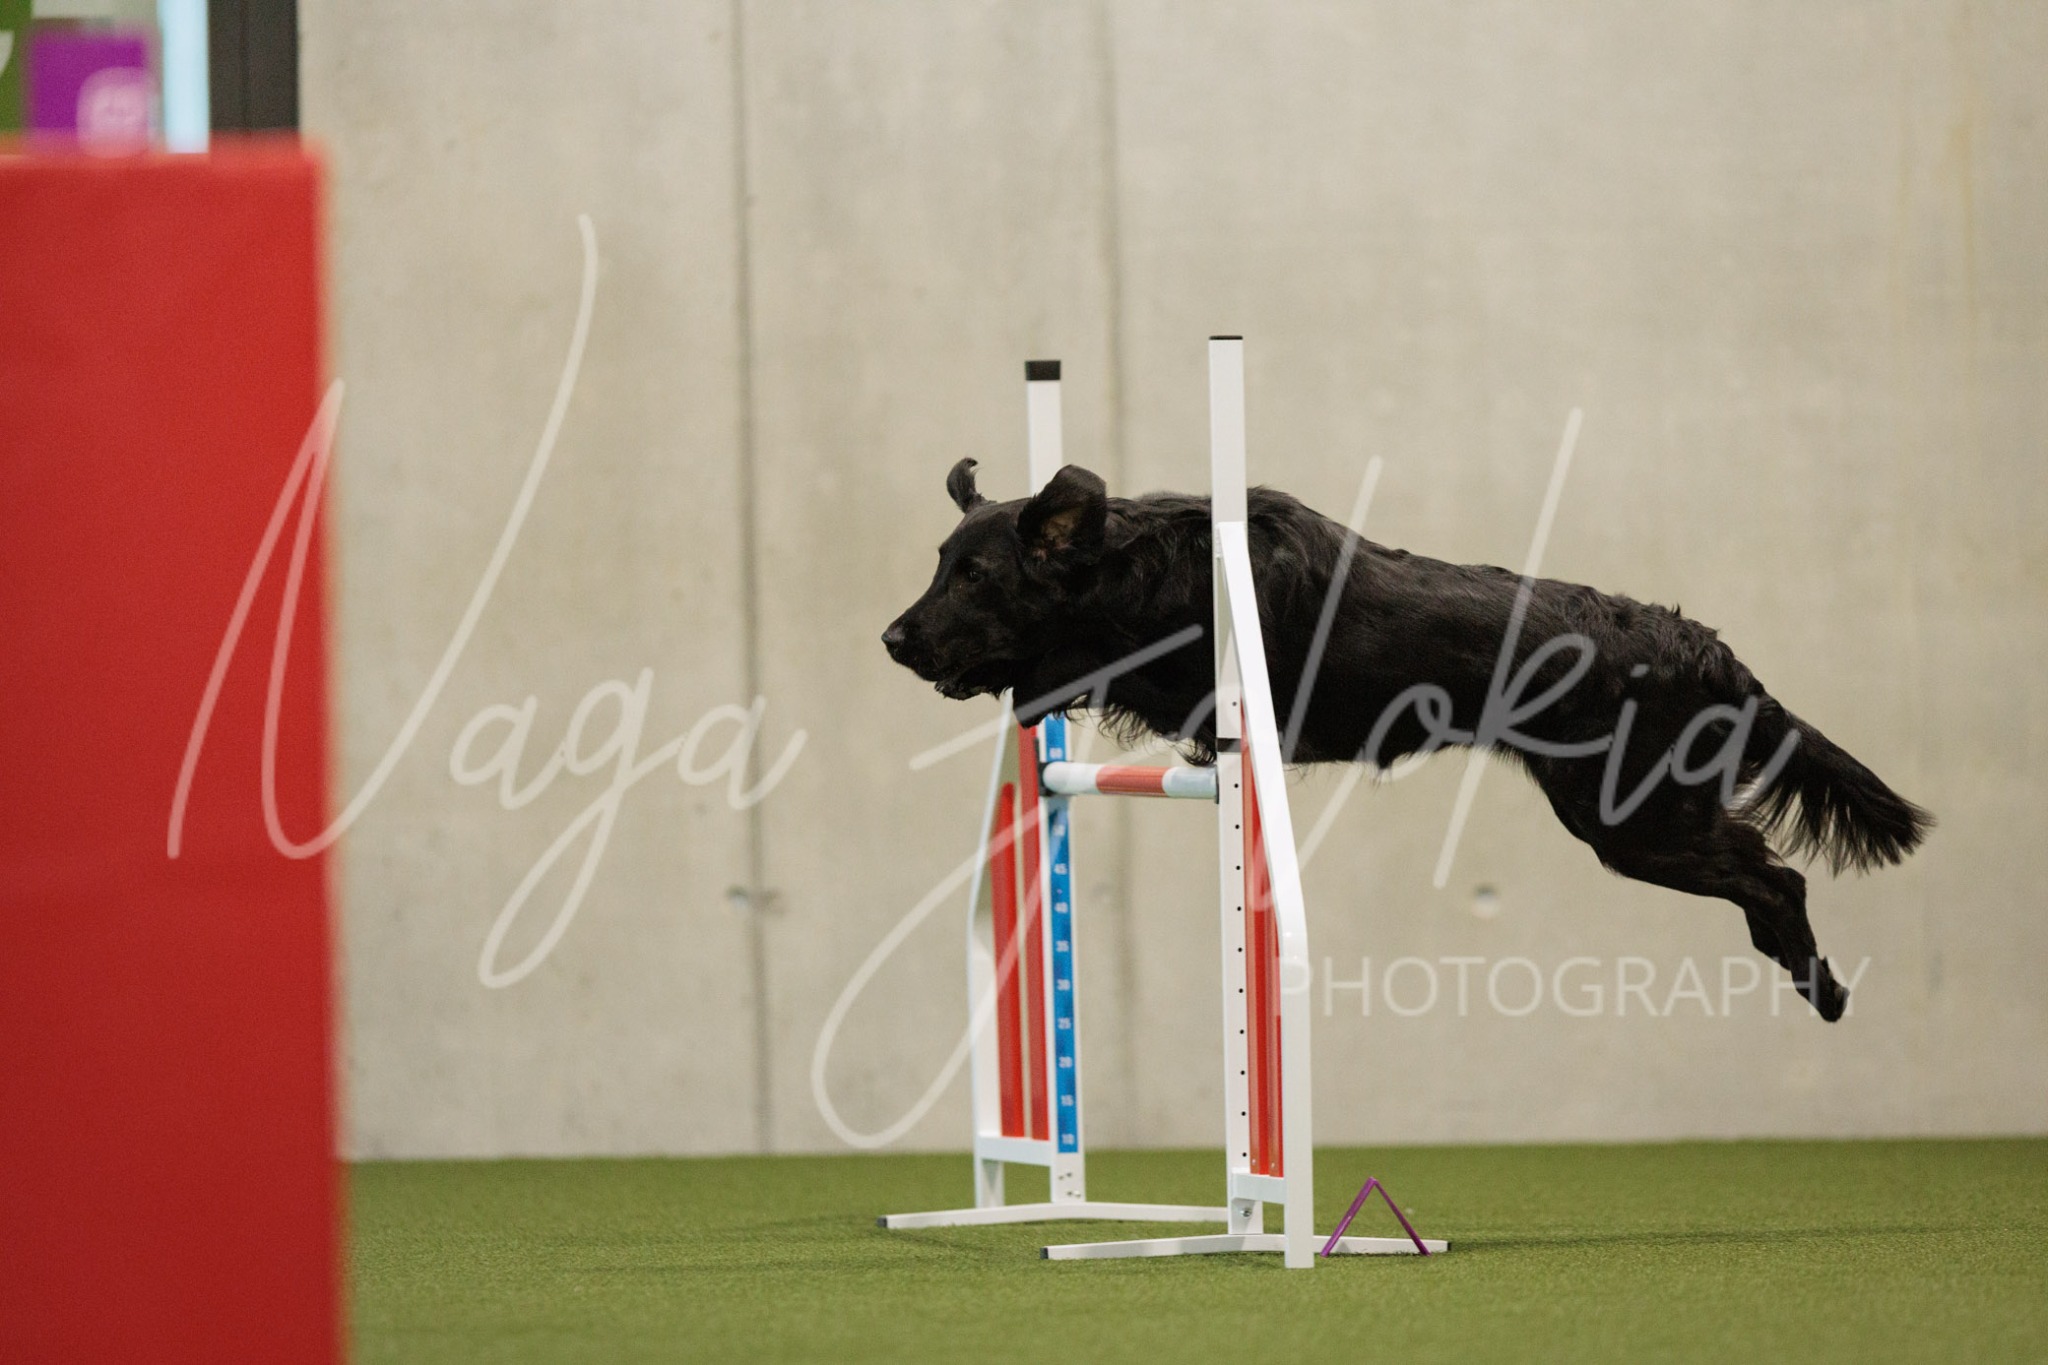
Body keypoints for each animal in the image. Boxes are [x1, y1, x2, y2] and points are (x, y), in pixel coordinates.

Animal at [883, 459, 1932, 1021]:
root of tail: (1704, 646)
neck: (1147, 565)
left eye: (976, 575)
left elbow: (1086, 665)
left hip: (1632, 816)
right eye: (940, 564)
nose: (893, 639)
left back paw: (1821, 985)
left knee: (1776, 875)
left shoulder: (1199, 684)